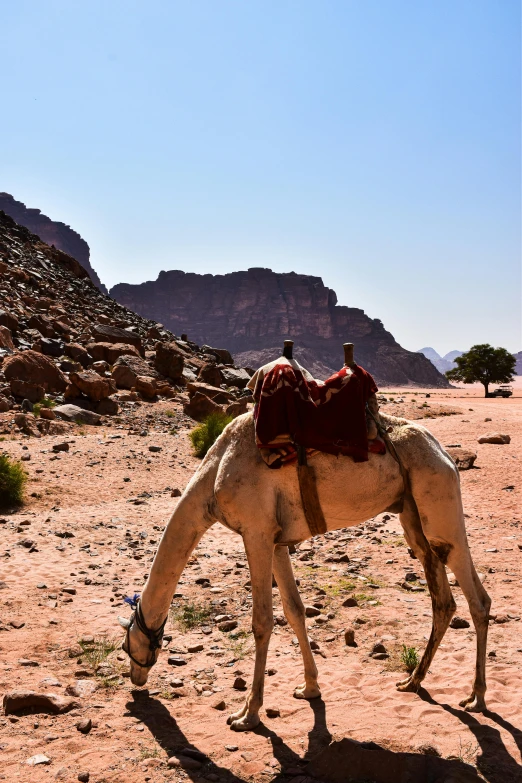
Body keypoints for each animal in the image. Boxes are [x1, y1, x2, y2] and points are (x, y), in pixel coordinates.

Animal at [118, 360, 488, 728]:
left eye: (126, 645)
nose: (136, 680)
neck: (214, 475)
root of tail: (444, 453)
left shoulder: (255, 532)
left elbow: (262, 621)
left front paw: (247, 713)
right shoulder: (275, 539)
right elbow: (294, 611)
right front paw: (309, 688)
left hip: (439, 500)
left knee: (477, 597)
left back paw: (476, 697)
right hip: (411, 514)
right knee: (443, 600)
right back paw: (413, 680)